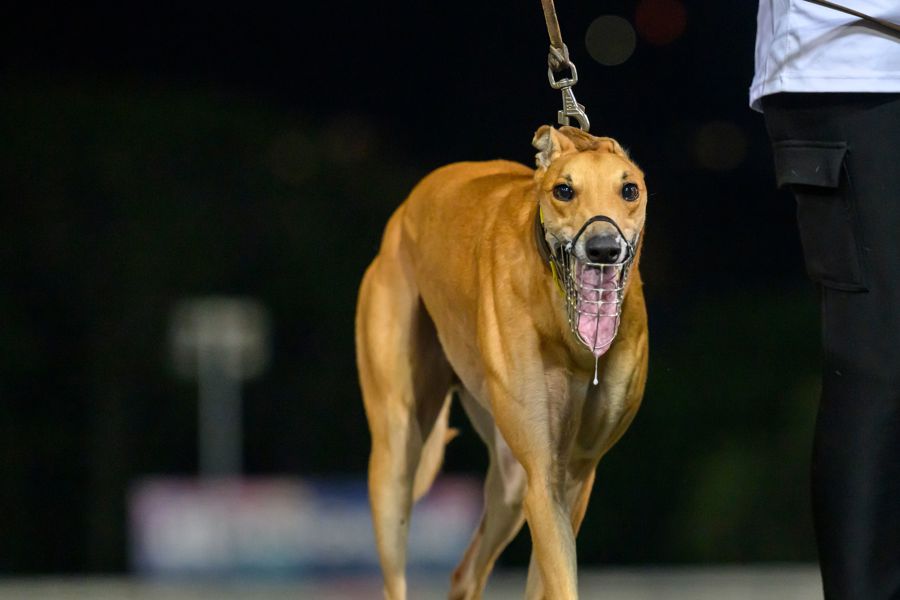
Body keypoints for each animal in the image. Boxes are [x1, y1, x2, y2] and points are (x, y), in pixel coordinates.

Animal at [355, 125, 649, 599]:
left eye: (629, 189)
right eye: (564, 189)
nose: (603, 248)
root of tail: (403, 213)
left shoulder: (573, 476)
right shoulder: (543, 477)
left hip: (510, 482)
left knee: (465, 573)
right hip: (396, 456)